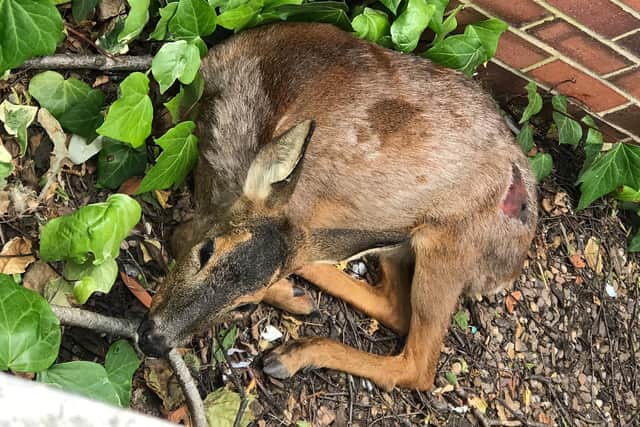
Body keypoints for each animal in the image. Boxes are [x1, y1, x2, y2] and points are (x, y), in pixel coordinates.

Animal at [137, 22, 537, 391]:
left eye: (245, 306)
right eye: (207, 252)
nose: (154, 340)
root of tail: (509, 268)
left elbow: (178, 233)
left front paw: (286, 296)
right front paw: (293, 294)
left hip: (449, 250)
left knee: (419, 366)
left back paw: (293, 353)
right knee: (393, 305)